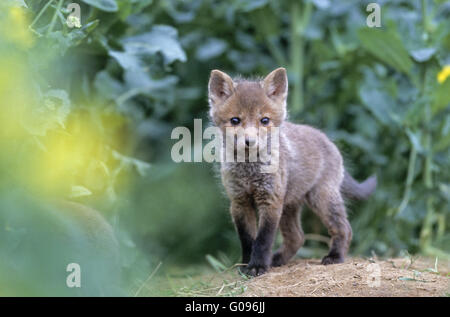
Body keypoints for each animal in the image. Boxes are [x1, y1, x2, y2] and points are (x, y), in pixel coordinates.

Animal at [207, 68, 376, 276]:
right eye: (235, 120)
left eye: (264, 120)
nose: (250, 142)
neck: (249, 171)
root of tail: (328, 140)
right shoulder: (239, 202)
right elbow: (247, 241)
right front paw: (245, 266)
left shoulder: (270, 201)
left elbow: (262, 240)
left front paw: (257, 267)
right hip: (289, 205)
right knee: (297, 237)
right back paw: (277, 260)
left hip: (321, 198)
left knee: (344, 228)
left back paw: (335, 256)